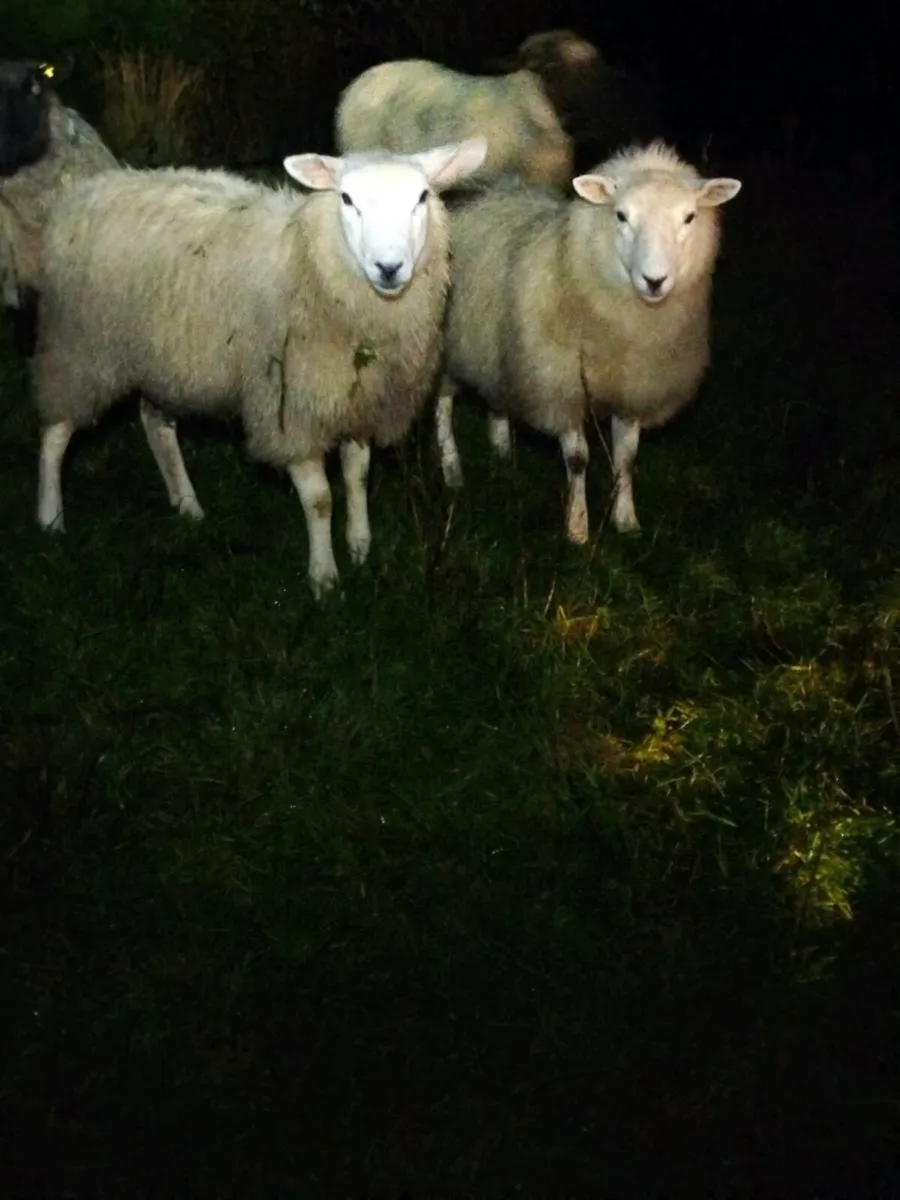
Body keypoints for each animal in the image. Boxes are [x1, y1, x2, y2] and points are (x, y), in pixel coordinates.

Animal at [31, 137, 488, 597]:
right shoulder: (290, 411)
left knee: (155, 424)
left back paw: (187, 503)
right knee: (56, 432)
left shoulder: (355, 401)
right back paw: (50, 518)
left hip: (163, 357)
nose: (389, 268)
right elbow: (320, 499)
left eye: (422, 197)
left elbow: (357, 477)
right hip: (81, 349)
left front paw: (360, 548)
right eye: (346, 198)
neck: (312, 265)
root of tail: (91, 188)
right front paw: (324, 577)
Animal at [434, 141, 742, 542]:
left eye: (689, 217)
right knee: (442, 406)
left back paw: (500, 451)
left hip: (495, 347)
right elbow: (577, 460)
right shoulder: (562, 386)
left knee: (496, 396)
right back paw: (451, 469)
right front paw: (578, 529)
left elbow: (626, 459)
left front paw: (626, 521)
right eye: (622, 216)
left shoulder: (632, 390)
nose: (654, 281)